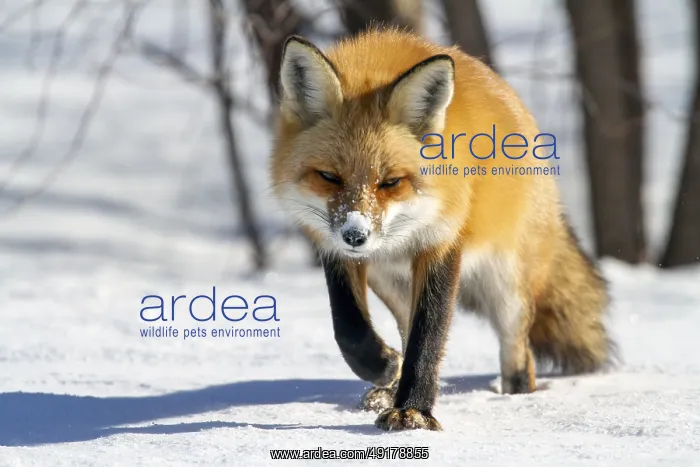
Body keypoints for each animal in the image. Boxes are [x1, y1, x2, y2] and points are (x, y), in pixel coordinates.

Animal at [269, 28, 616, 431]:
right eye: (329, 177)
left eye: (390, 182)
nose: (356, 236)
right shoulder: (333, 249)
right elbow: (349, 329)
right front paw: (383, 367)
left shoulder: (441, 241)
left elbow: (428, 337)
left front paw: (414, 412)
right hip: (391, 283)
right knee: (404, 329)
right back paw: (389, 386)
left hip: (507, 288)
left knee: (519, 354)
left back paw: (515, 399)